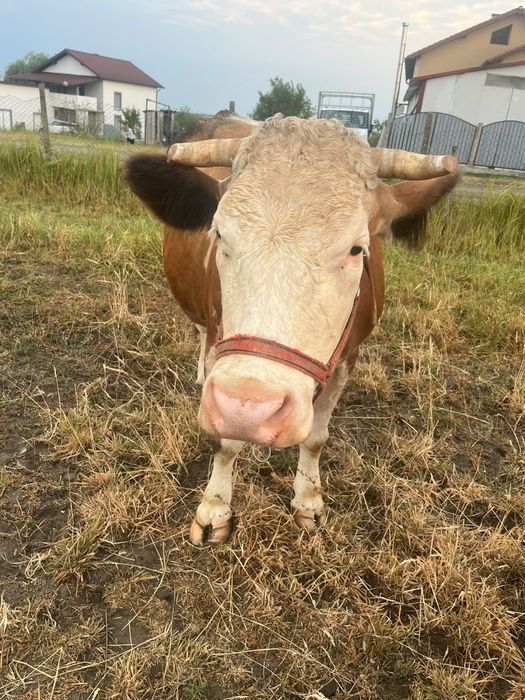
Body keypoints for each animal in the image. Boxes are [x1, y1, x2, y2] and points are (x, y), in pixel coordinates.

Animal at [125, 115, 459, 545]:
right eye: (219, 234)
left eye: (357, 249)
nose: (252, 409)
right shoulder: (221, 352)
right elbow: (227, 443)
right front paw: (215, 509)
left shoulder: (348, 358)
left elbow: (316, 438)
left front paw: (308, 500)